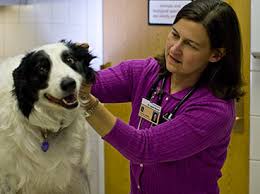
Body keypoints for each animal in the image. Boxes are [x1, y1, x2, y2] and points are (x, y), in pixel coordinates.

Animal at [0, 40, 95, 193]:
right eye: (42, 68)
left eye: (69, 60)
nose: (69, 83)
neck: (48, 129)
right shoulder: (9, 180)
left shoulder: (77, 177)